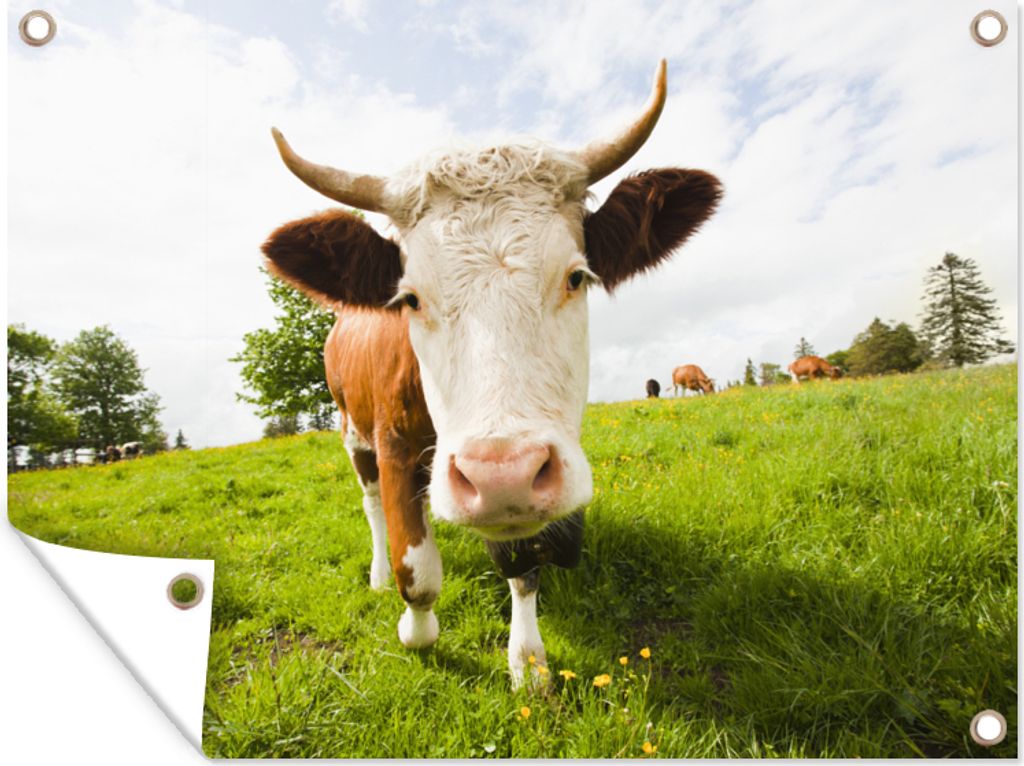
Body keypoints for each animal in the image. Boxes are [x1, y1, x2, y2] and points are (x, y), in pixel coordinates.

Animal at [262, 61, 722, 687]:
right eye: (410, 298)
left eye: (577, 276)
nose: (501, 476)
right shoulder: (394, 444)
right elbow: (417, 572)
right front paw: (415, 632)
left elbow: (521, 565)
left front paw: (528, 663)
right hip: (351, 429)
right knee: (373, 504)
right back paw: (377, 572)